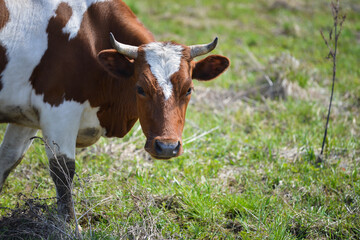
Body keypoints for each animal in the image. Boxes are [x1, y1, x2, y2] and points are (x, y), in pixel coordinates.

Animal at [0, 0, 231, 220]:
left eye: (189, 89)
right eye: (140, 88)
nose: (167, 147)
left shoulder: (27, 117)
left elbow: (8, 158)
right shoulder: (58, 110)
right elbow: (63, 170)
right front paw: (70, 225)